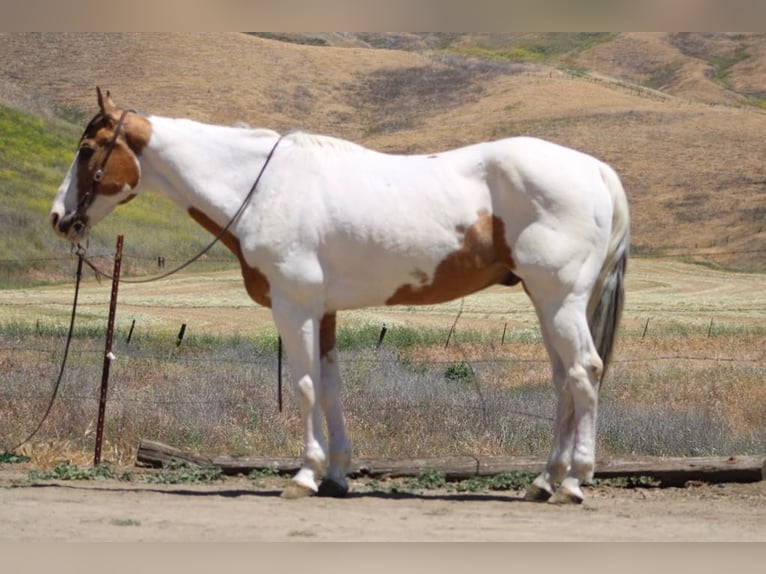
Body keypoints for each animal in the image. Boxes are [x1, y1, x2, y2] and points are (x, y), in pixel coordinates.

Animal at [50, 88, 629, 504]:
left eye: (86, 150)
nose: (59, 218)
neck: (263, 188)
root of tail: (596, 170)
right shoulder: (324, 312)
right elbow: (330, 388)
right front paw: (337, 476)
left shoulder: (295, 308)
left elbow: (305, 386)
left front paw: (305, 476)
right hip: (548, 303)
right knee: (562, 381)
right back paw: (543, 481)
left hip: (559, 301)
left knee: (584, 373)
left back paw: (573, 482)